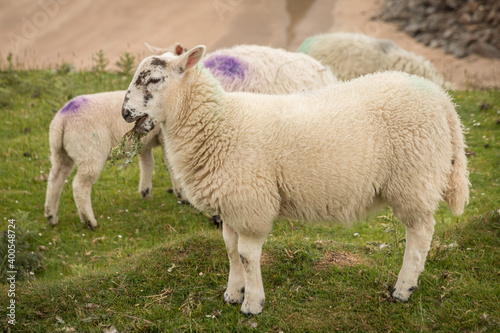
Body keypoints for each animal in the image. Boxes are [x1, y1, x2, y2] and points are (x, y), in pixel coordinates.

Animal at [45, 44, 338, 228]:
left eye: (153, 80)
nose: (125, 113)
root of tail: (61, 120)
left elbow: (153, 161)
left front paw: (153, 191)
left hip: (62, 154)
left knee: (56, 178)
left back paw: (51, 215)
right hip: (88, 153)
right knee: (79, 185)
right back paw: (90, 221)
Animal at [120, 46, 468, 314]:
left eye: (154, 79)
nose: (124, 113)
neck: (219, 122)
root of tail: (442, 99)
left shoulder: (251, 202)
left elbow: (247, 255)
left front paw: (253, 303)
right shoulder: (231, 203)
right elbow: (230, 249)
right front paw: (233, 293)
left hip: (415, 177)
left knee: (420, 233)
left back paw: (404, 287)